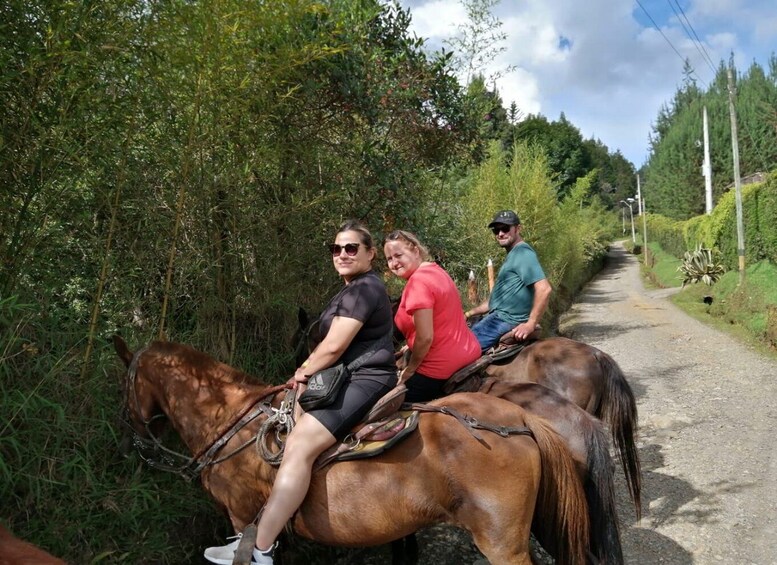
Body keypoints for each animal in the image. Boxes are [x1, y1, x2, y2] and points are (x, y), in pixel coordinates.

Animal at [113, 338, 588, 560]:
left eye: (125, 388)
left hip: (503, 542)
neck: (233, 421)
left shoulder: (241, 515)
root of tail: (520, 421)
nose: (134, 441)